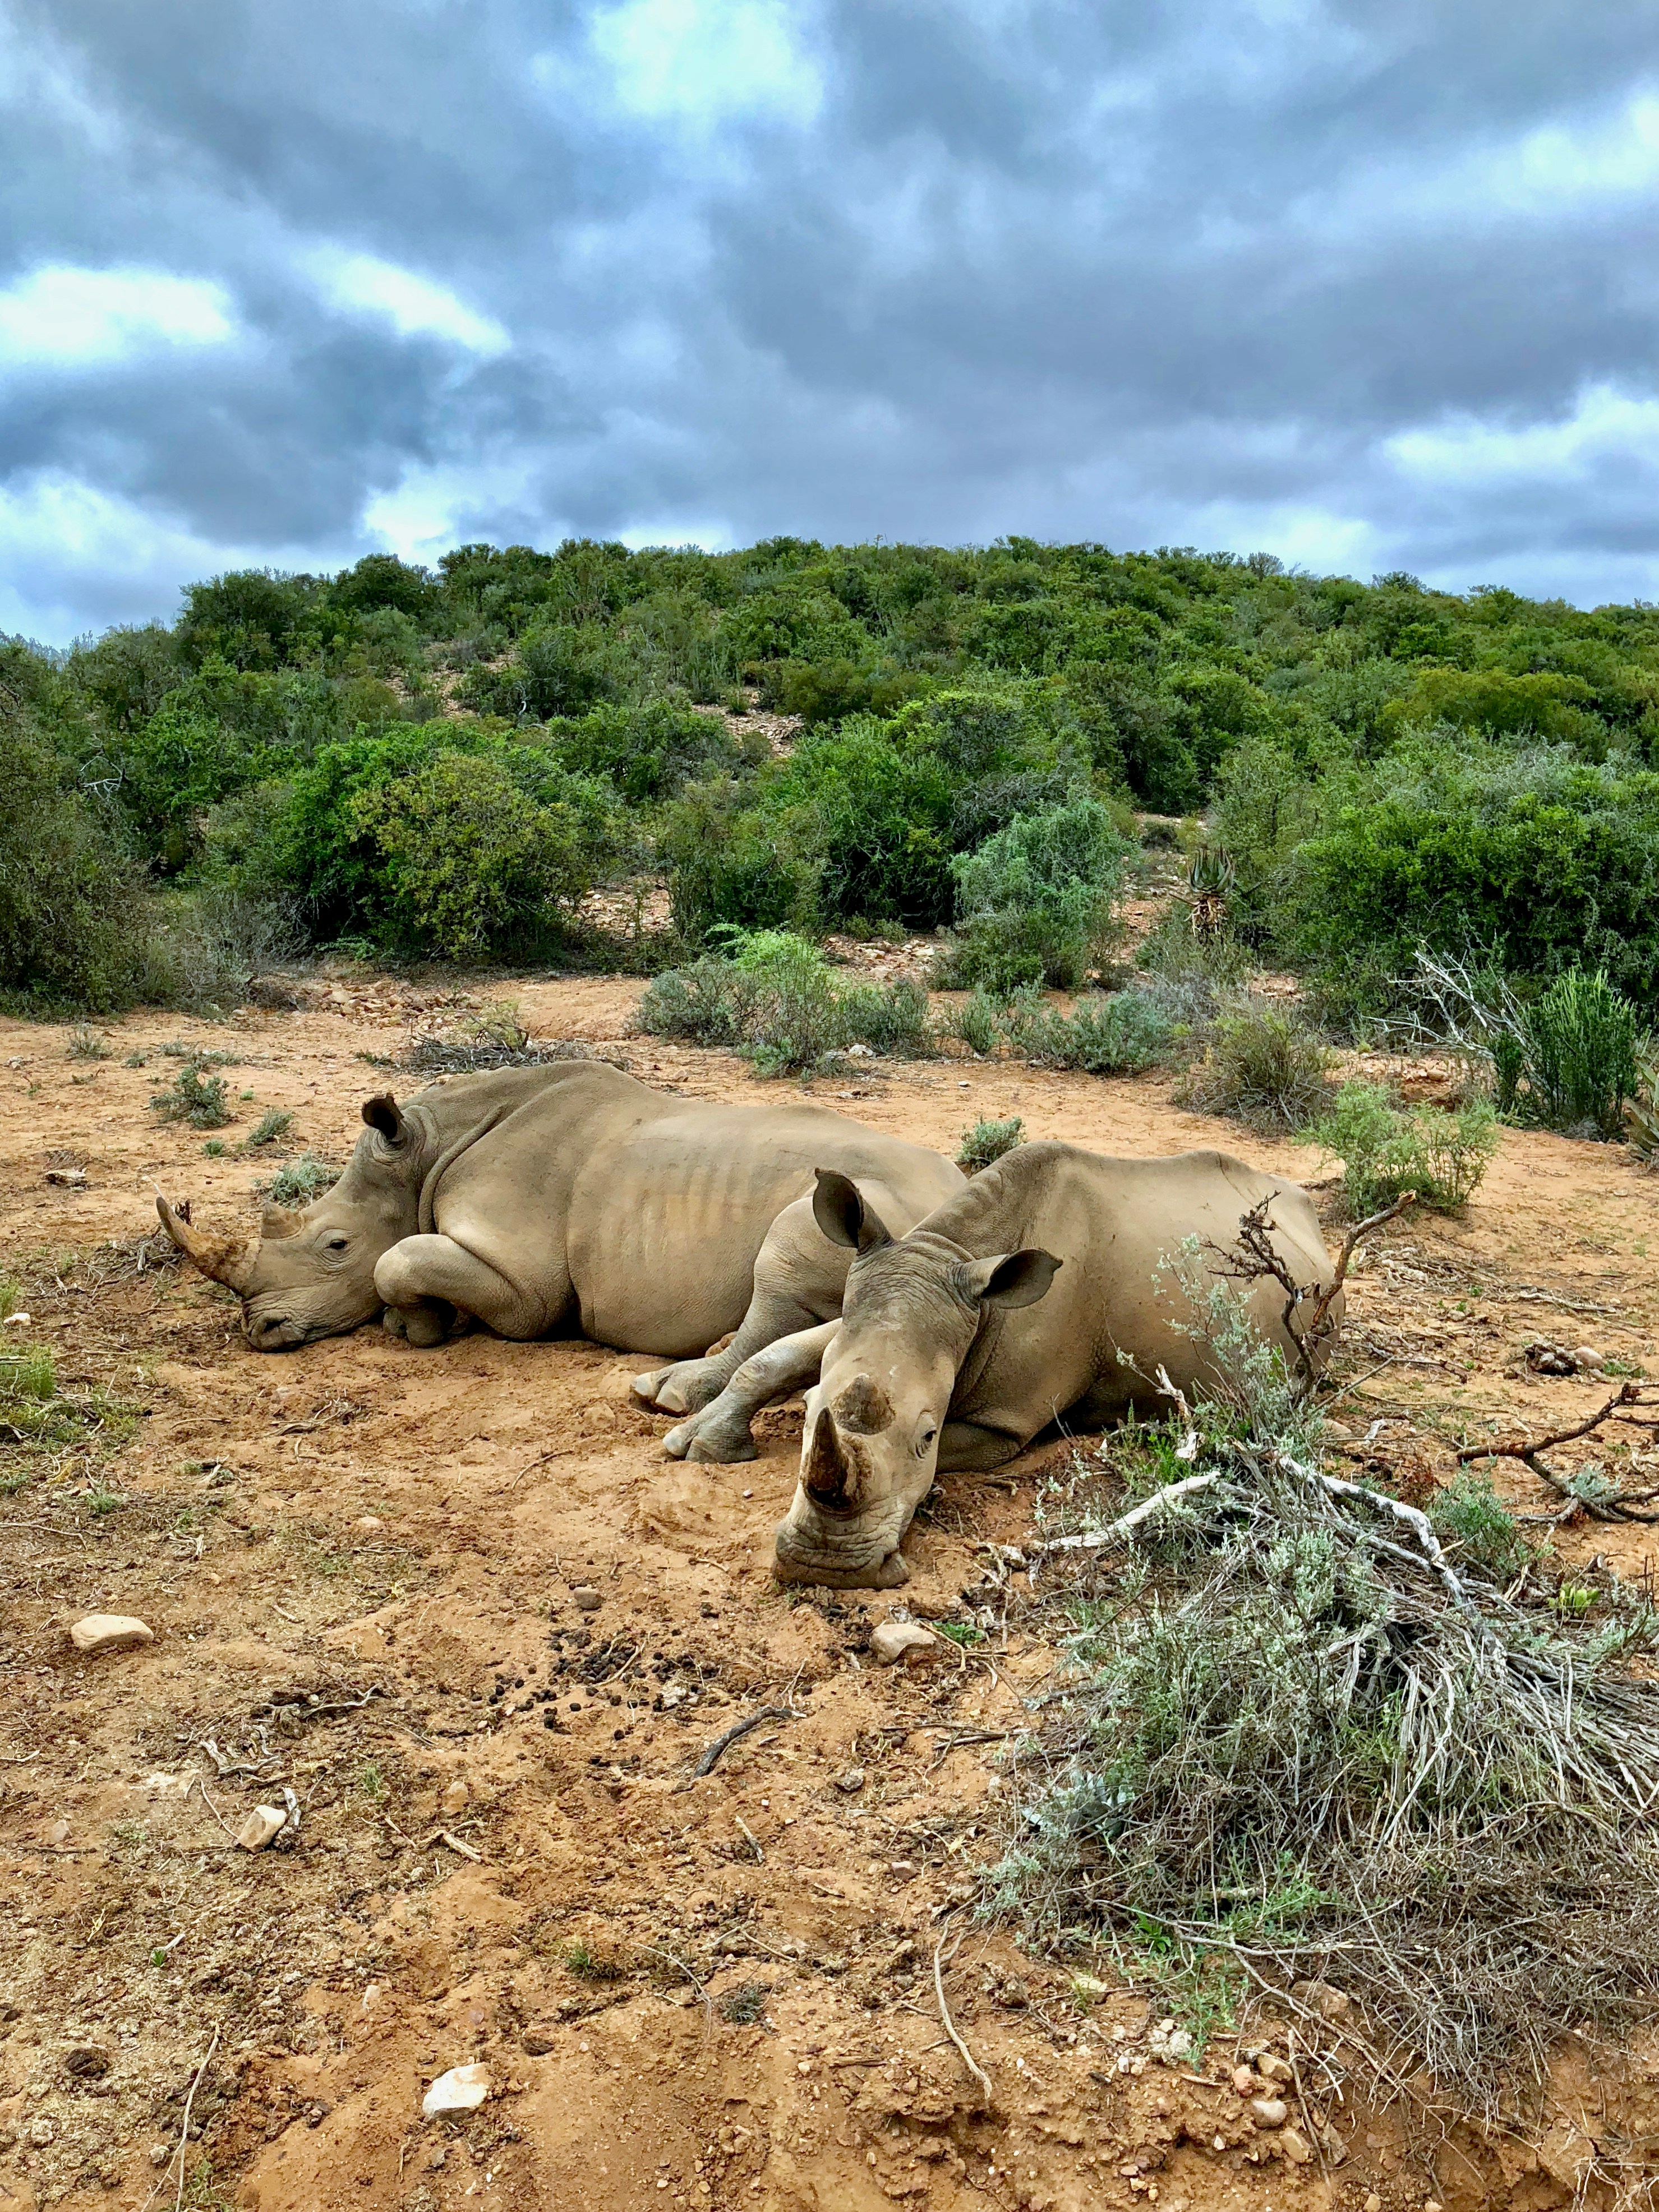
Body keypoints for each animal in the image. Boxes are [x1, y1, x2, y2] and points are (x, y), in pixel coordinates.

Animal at [156, 1059, 962, 1456]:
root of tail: (959, 1186)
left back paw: (669, 1393)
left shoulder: (528, 1288)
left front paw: (417, 1327)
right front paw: (407, 1321)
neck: (422, 1154)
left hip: (867, 1207)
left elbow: (399, 1260)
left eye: (335, 1246)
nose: (260, 1330)